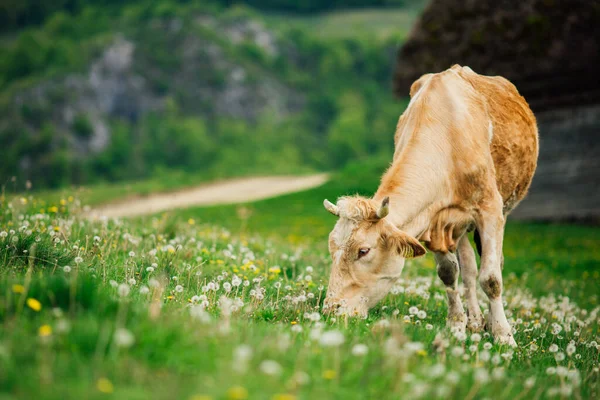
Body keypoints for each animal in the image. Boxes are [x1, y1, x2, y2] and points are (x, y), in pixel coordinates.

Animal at [324, 64, 540, 346]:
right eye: (331, 247)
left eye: (363, 251)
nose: (331, 309)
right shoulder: (433, 220)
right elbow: (449, 273)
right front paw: (456, 327)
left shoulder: (490, 210)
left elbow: (492, 279)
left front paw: (504, 336)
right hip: (458, 226)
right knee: (468, 270)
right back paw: (474, 321)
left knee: (490, 266)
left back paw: (490, 322)